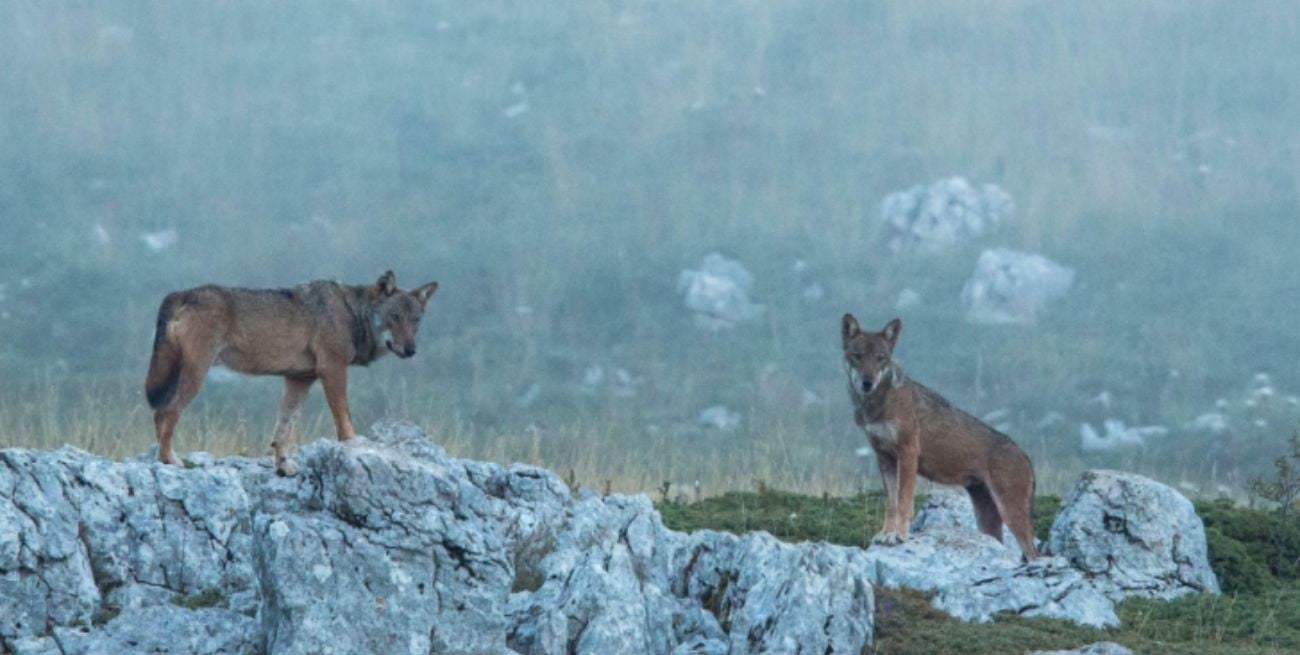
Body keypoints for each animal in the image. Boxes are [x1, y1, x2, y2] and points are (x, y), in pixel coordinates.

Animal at [144, 271, 438, 475]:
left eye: (416, 320)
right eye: (394, 317)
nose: (411, 350)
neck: (352, 313)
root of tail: (183, 293)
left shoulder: (299, 379)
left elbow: (284, 428)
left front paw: (284, 466)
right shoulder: (332, 369)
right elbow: (344, 419)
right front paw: (352, 445)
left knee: (159, 414)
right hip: (196, 374)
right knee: (168, 411)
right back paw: (169, 460)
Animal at [842, 314, 1039, 559]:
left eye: (880, 358)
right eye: (857, 356)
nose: (867, 383)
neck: (879, 404)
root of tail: (1026, 457)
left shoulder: (908, 452)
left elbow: (904, 501)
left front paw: (899, 536)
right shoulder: (884, 457)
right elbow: (891, 503)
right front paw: (885, 534)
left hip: (1012, 515)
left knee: (1036, 554)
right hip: (987, 522)